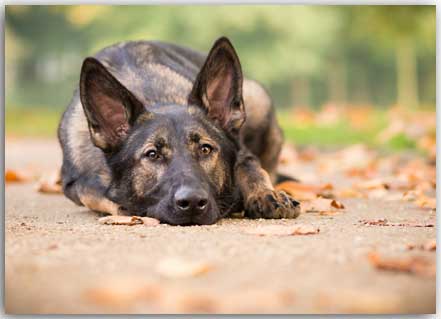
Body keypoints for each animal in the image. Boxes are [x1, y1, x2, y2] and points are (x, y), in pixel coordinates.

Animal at [58, 36, 300, 225]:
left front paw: (266, 194)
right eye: (152, 154)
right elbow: (96, 193)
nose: (192, 202)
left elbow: (253, 169)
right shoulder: (74, 184)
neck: (155, 98)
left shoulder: (242, 153)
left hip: (258, 98)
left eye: (205, 149)